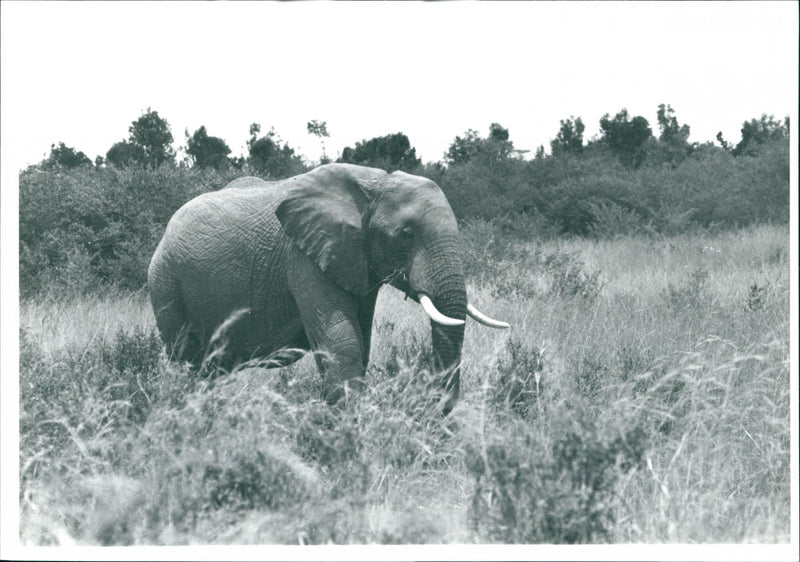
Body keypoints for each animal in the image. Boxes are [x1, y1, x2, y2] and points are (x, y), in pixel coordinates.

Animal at [148, 163, 508, 414]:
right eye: (406, 234)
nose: (439, 410)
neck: (375, 183)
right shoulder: (304, 256)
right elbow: (342, 341)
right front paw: (348, 427)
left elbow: (361, 341)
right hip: (165, 281)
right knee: (184, 358)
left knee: (212, 368)